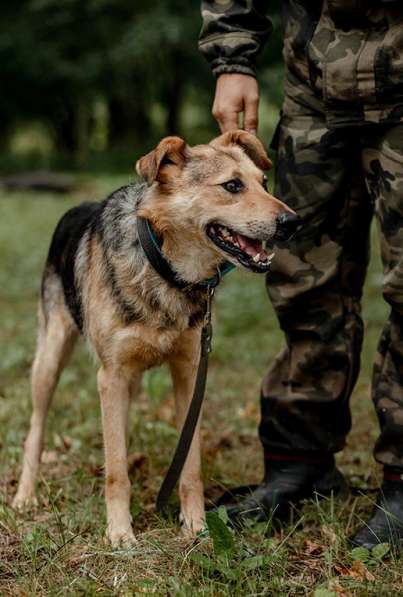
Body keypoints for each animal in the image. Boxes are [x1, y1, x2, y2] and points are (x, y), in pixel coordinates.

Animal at [12, 129, 298, 544]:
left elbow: (189, 466)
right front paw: (119, 533)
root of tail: (78, 205)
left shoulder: (189, 374)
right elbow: (116, 470)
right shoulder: (110, 376)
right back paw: (25, 495)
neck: (165, 269)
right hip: (50, 360)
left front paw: (195, 526)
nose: (294, 222)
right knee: (36, 430)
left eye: (264, 183)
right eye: (232, 185)